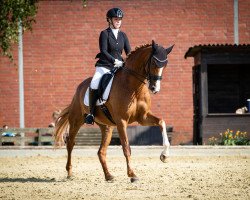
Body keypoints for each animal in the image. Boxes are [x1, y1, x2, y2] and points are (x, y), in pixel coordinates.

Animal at [55, 39, 174, 182]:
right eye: (154, 62)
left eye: (165, 65)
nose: (155, 88)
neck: (134, 87)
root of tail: (80, 87)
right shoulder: (121, 121)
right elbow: (126, 147)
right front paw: (132, 174)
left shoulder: (143, 117)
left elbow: (161, 122)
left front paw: (165, 155)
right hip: (76, 121)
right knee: (70, 143)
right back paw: (69, 173)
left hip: (107, 127)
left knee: (101, 151)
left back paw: (108, 176)